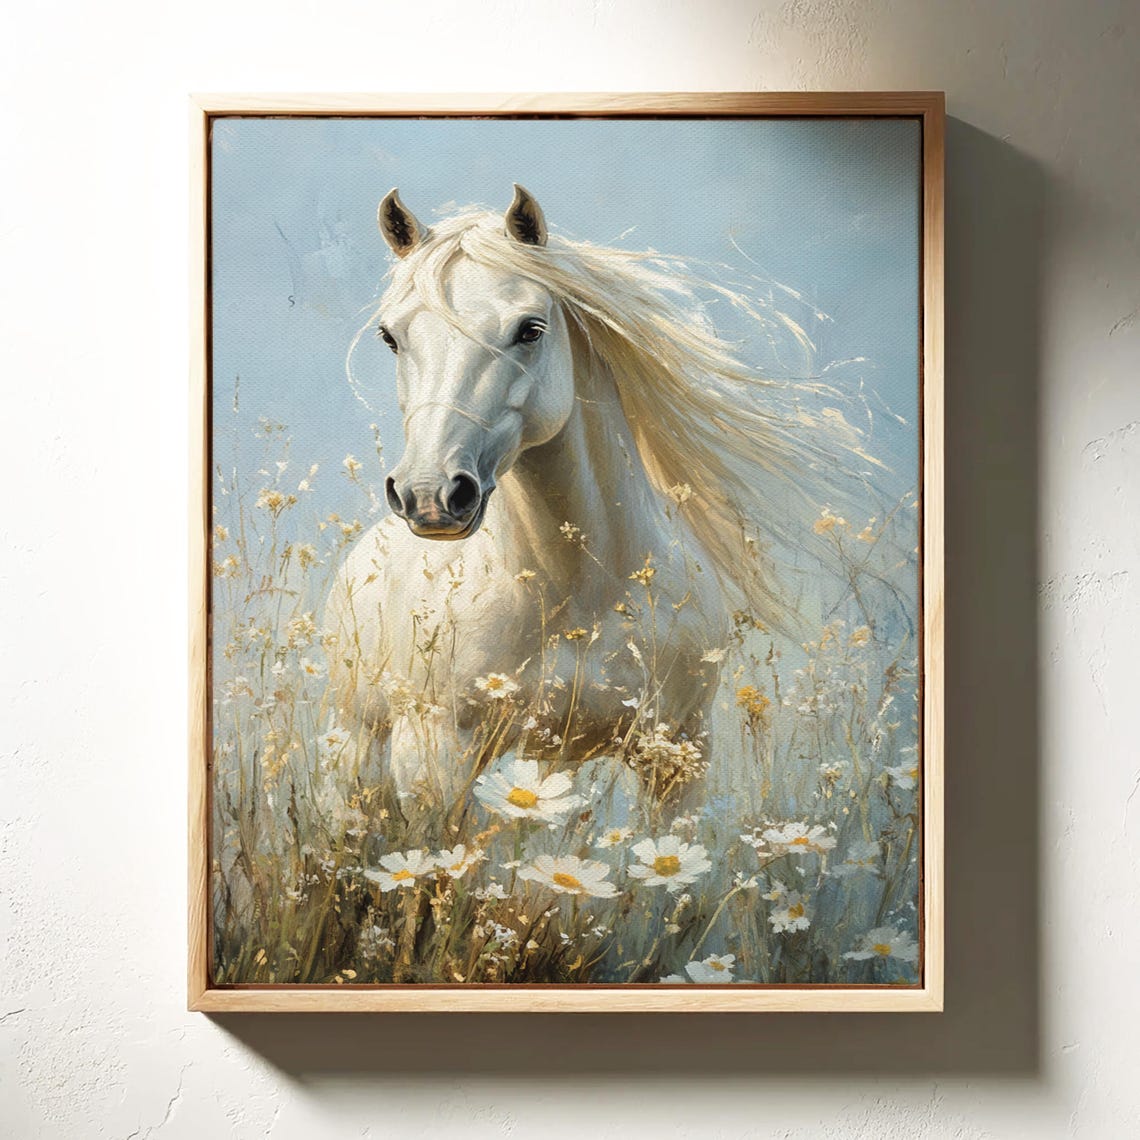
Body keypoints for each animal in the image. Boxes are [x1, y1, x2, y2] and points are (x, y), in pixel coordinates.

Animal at [325, 185, 847, 819]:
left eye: (530, 329)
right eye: (390, 336)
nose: (429, 495)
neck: (581, 588)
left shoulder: (678, 755)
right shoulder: (435, 755)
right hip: (357, 742)